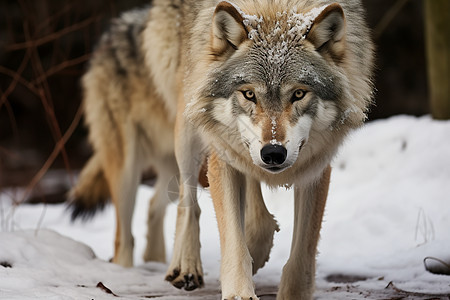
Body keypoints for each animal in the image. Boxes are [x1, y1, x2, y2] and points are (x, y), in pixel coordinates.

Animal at [69, 0, 372, 298]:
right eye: (249, 94)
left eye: (298, 94)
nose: (273, 153)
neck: (276, 7)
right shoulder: (223, 151)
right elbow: (236, 239)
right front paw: (240, 286)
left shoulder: (315, 167)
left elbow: (301, 252)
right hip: (166, 140)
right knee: (154, 221)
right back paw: (182, 266)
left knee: (156, 205)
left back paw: (160, 260)